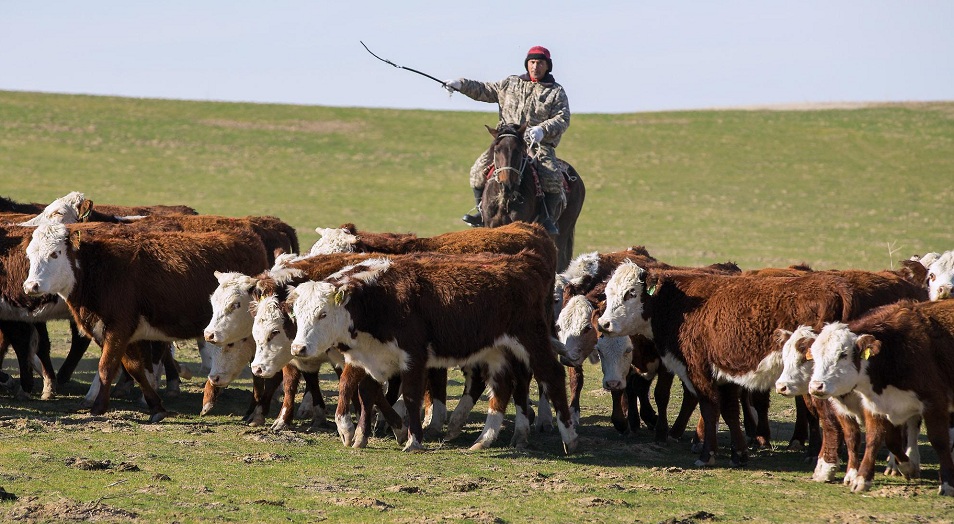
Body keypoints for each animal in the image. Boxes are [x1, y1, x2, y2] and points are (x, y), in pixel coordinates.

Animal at [23, 223, 268, 420]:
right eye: (30, 255)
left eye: (55, 253)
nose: (31, 286)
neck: (100, 269)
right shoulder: (126, 334)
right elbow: (134, 368)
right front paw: (156, 407)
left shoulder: (118, 328)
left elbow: (106, 367)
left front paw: (98, 408)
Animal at [804, 298, 952, 496]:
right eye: (814, 356)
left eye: (843, 354)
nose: (816, 386)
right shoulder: (876, 405)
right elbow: (878, 440)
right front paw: (864, 478)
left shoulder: (934, 403)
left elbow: (939, 441)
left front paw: (947, 484)